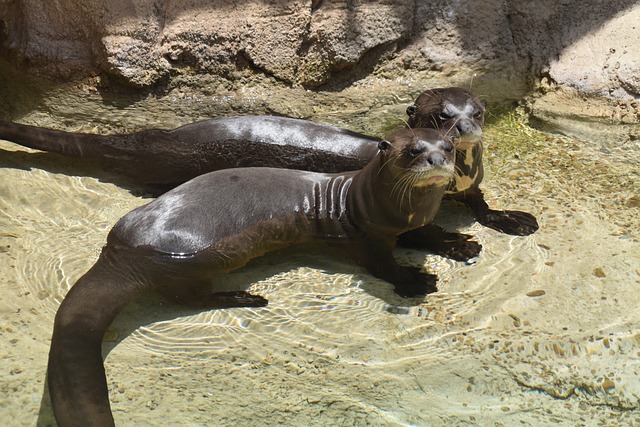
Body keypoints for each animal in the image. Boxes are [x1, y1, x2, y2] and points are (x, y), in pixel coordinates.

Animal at [50, 128, 458, 427]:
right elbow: (381, 266)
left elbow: (430, 234)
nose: (438, 159)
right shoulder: (364, 236)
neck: (357, 199)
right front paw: (415, 281)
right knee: (187, 298)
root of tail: (124, 251)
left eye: (450, 146)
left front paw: (455, 243)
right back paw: (243, 298)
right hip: (203, 261)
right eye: (414, 150)